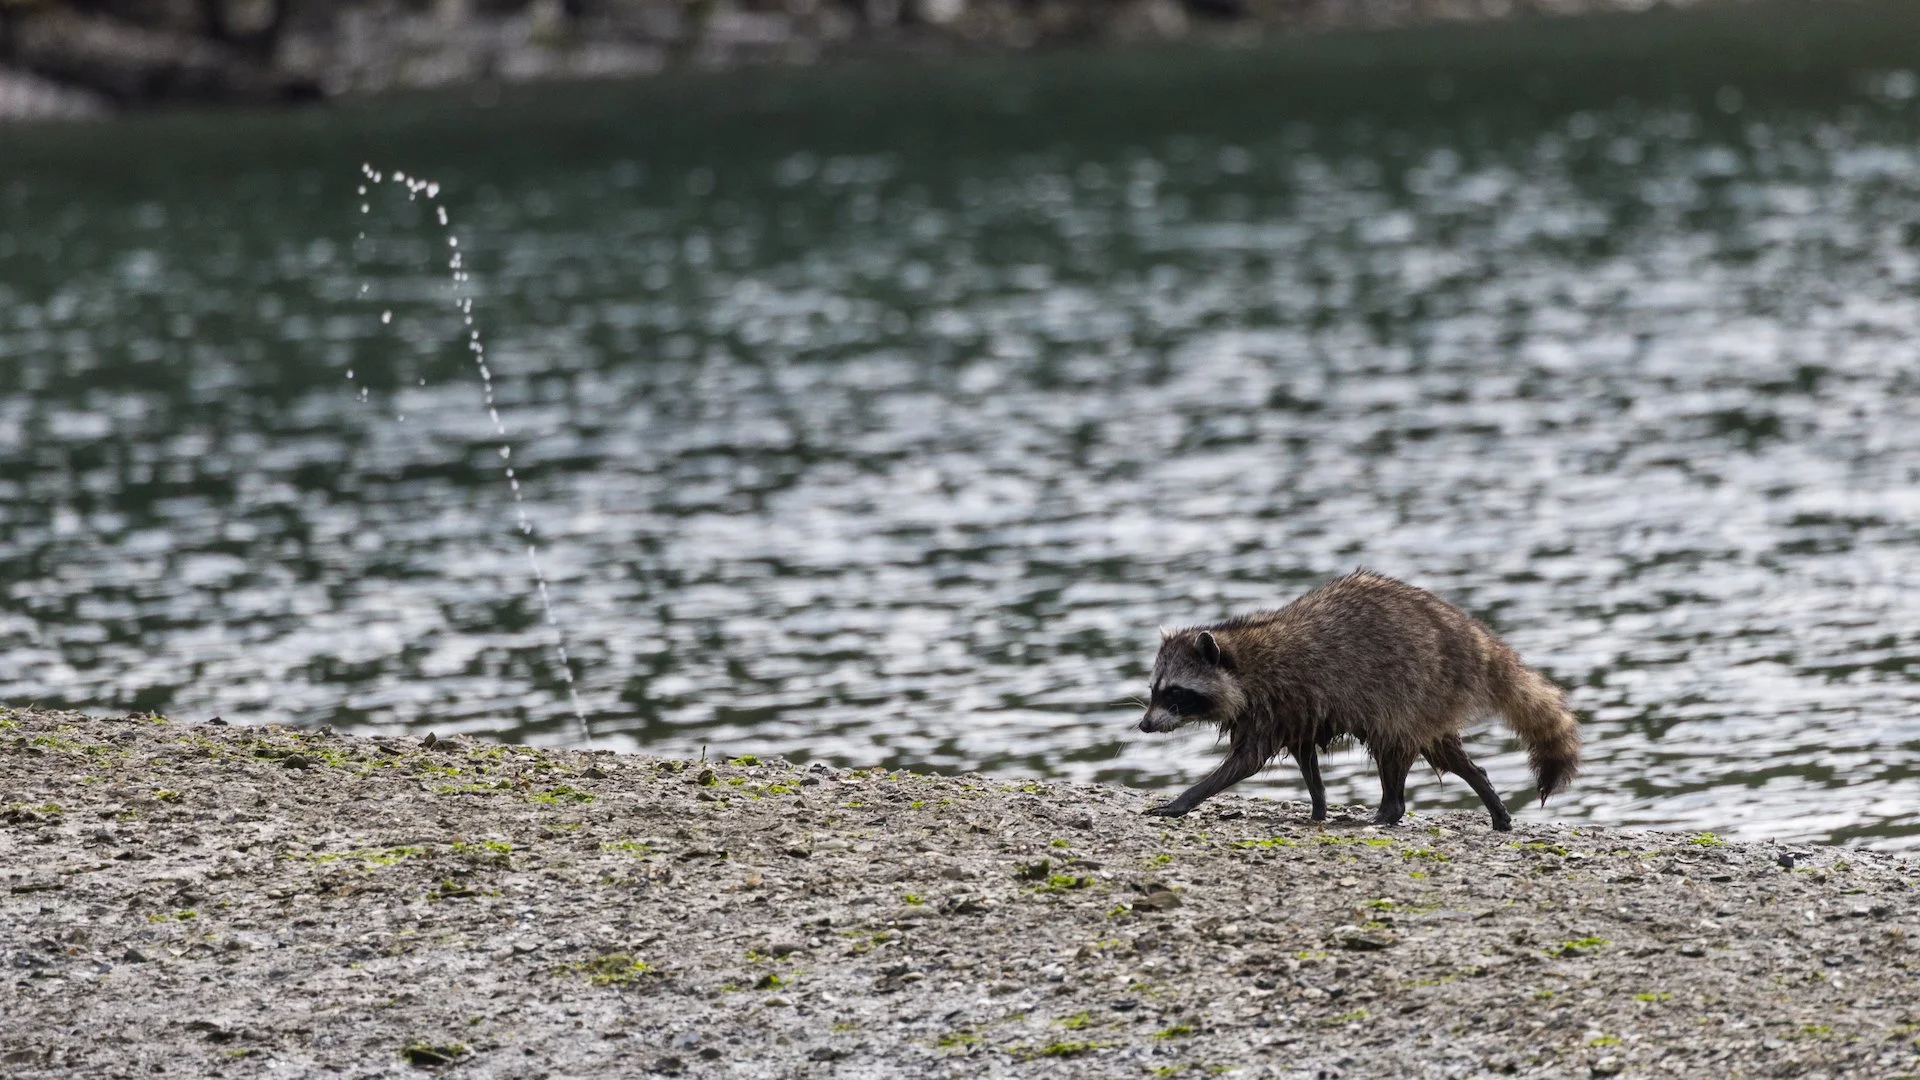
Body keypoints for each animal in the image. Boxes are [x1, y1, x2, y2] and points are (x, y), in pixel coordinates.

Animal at [1135, 570, 1581, 831]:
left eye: (1174, 693)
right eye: (1154, 690)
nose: (1144, 725)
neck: (1242, 655)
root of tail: (1474, 638)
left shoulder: (1279, 698)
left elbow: (1246, 761)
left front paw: (1186, 798)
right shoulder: (1295, 712)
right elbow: (1305, 757)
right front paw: (1318, 805)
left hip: (1414, 685)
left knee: (1392, 743)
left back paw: (1389, 810)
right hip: (1432, 697)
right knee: (1444, 751)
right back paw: (1488, 797)